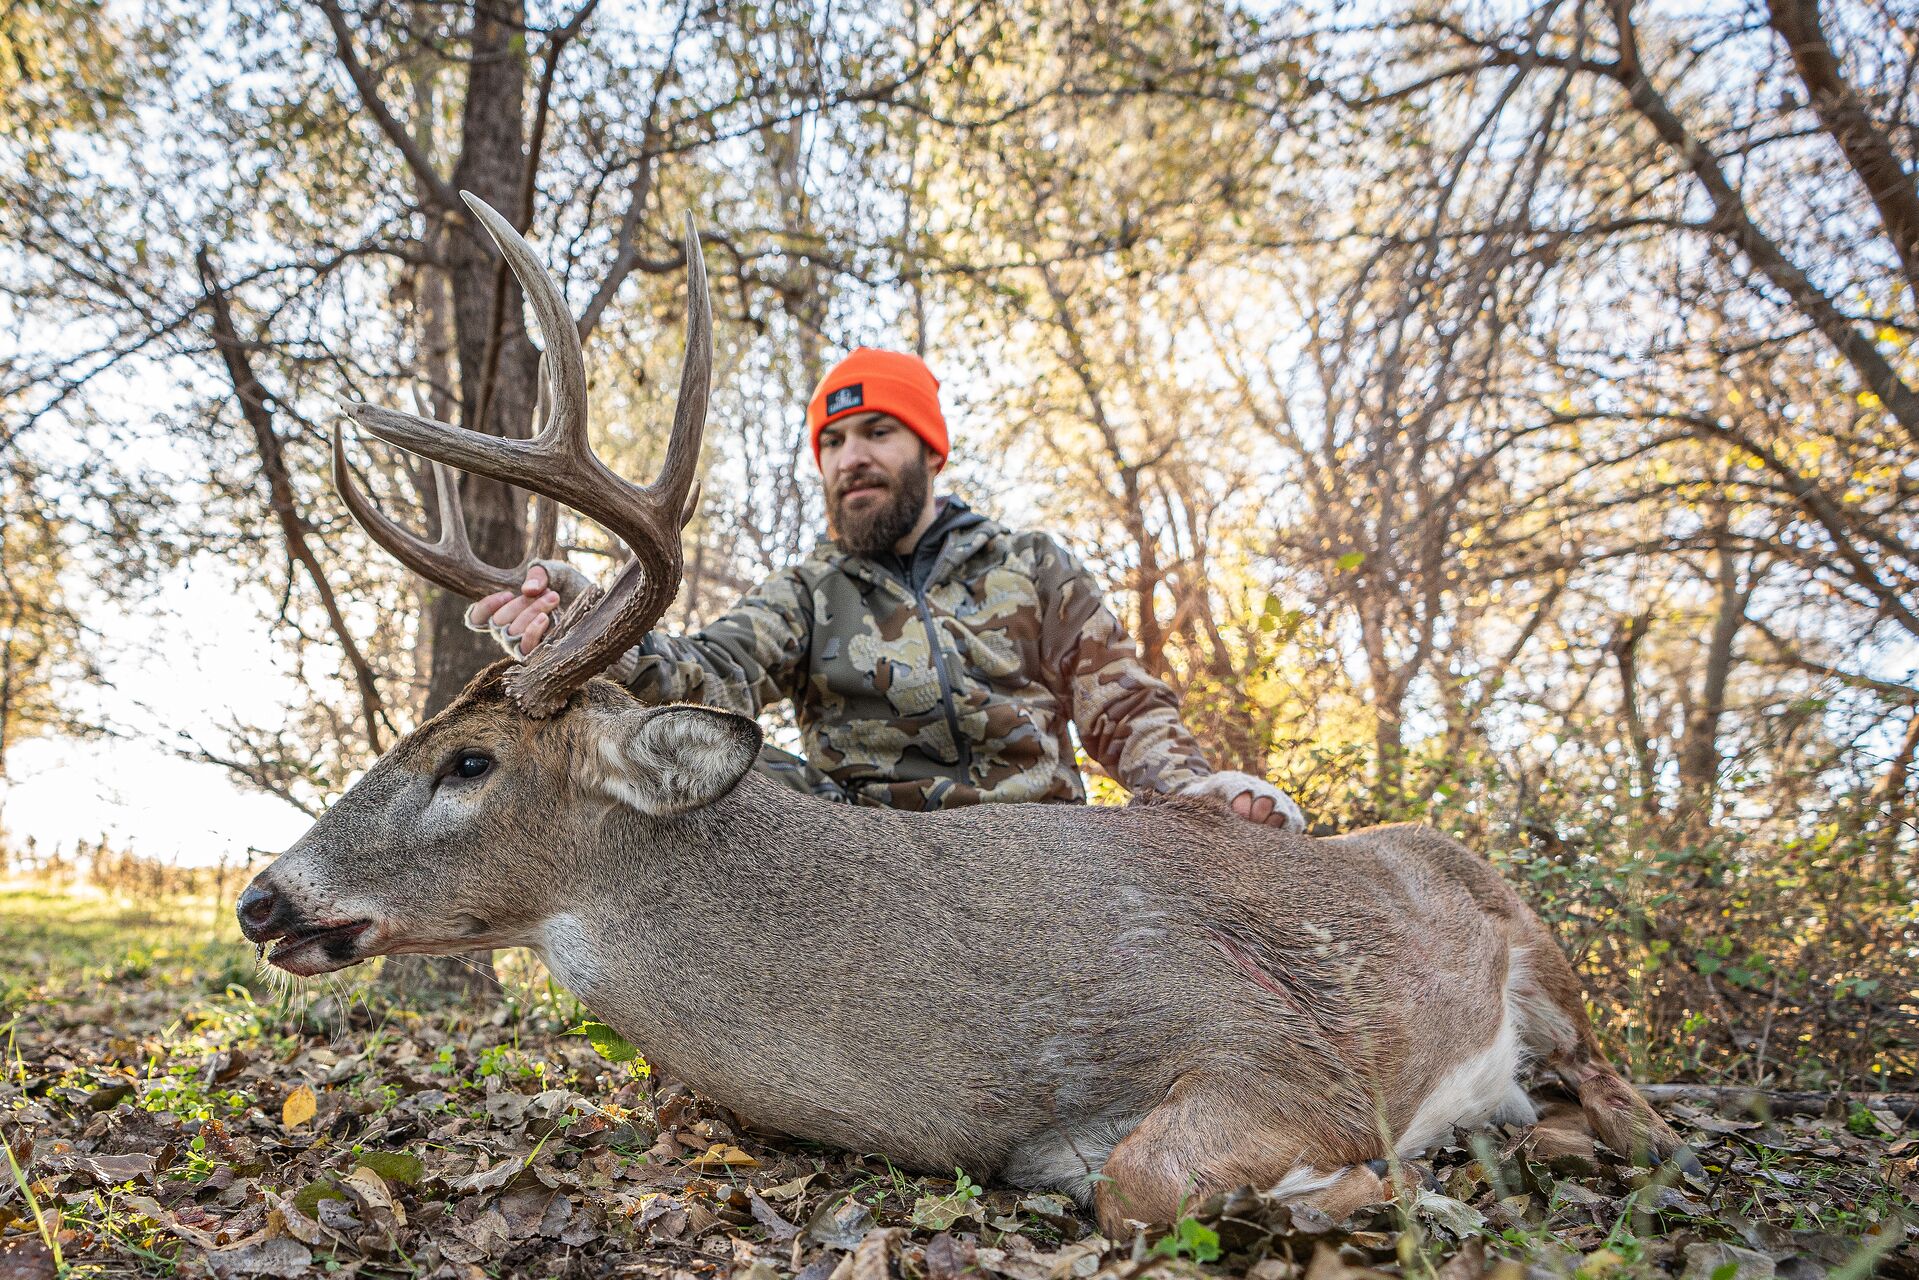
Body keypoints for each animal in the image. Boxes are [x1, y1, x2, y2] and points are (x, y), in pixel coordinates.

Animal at [237, 192, 1690, 1237]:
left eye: (469, 760)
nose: (261, 897)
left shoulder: (1276, 1048)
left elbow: (1142, 1182)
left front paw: (1394, 1180)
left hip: (1543, 955)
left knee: (1640, 1110)